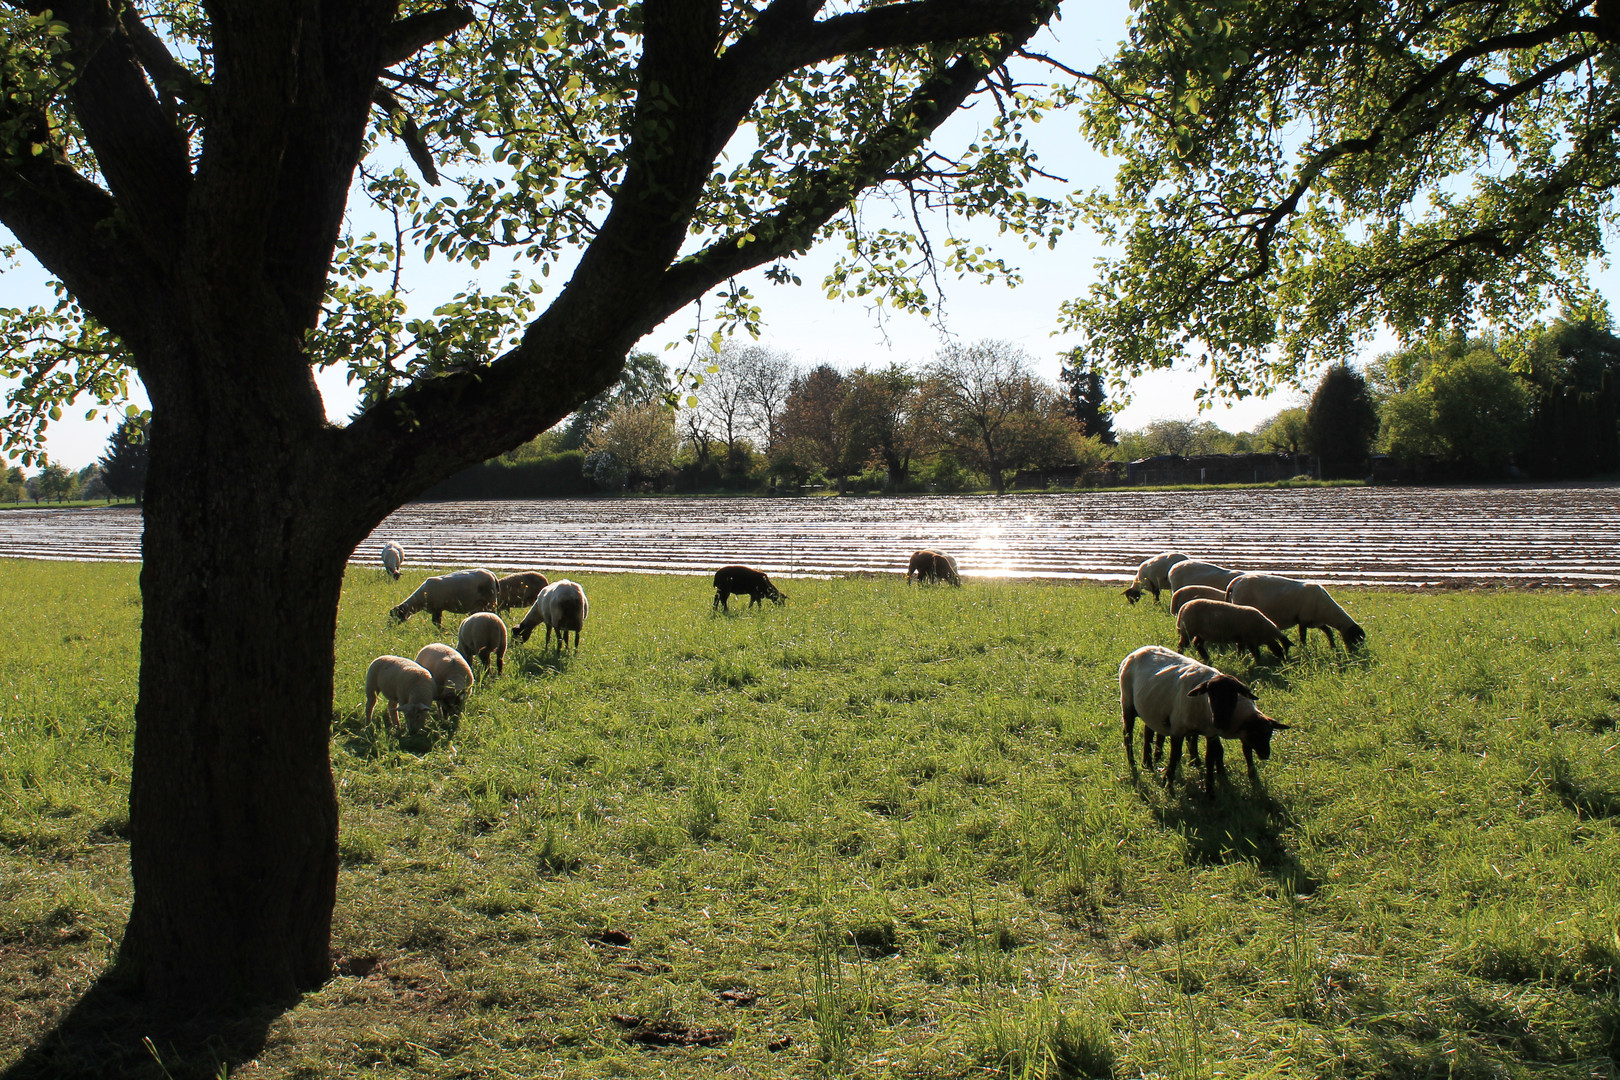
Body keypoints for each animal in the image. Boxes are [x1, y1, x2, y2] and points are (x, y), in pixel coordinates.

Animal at [1114, 647, 1289, 799]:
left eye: (1234, 696)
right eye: (1211, 695)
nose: (1265, 755)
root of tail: (1139, 650)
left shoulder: (1211, 734)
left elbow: (1211, 757)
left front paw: (1211, 791)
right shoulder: (1178, 730)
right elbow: (1175, 756)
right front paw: (1168, 785)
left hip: (1151, 708)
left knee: (1148, 731)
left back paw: (1148, 763)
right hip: (1127, 703)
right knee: (1128, 735)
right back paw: (1133, 764)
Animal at [1224, 573, 1367, 650]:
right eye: (1357, 639)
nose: (1354, 653)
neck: (1328, 612)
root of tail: (1235, 582)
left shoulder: (1316, 621)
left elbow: (1328, 632)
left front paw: (1333, 647)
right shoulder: (1303, 620)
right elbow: (1303, 637)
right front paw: (1304, 650)